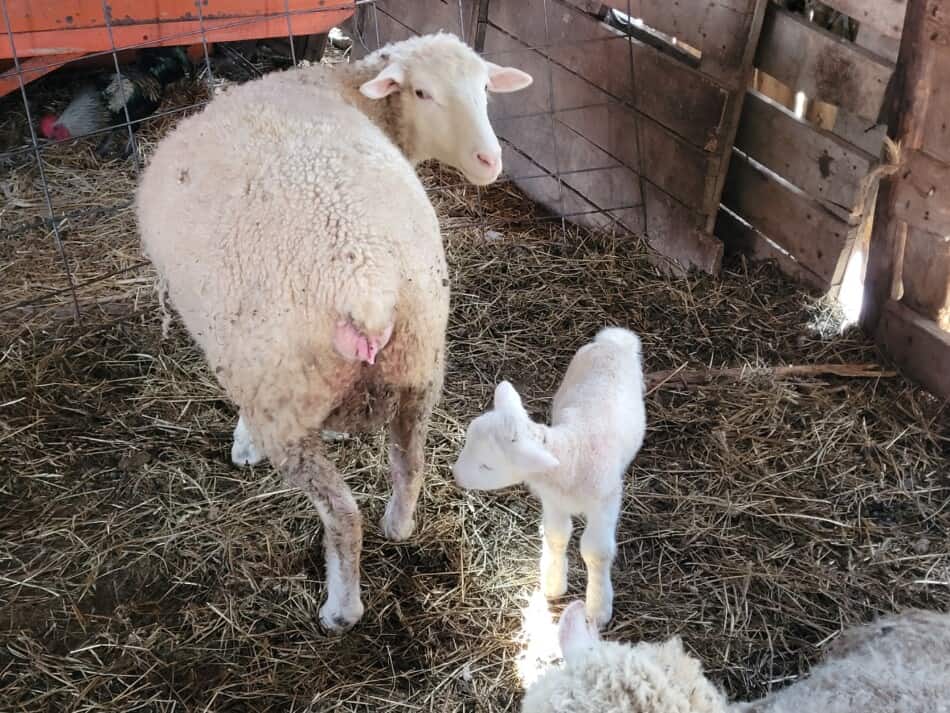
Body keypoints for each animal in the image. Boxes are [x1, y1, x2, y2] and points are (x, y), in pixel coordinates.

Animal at [136, 34, 536, 636]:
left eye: (486, 87)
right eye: (423, 92)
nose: (490, 161)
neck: (338, 84)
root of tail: (364, 291)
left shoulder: (248, 365)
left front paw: (243, 442)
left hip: (286, 404)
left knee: (343, 516)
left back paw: (341, 608)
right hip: (419, 370)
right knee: (409, 466)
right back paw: (398, 526)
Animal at [452, 326, 648, 624]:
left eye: (487, 466)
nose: (455, 475)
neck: (573, 454)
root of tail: (612, 341)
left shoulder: (606, 502)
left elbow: (596, 551)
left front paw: (598, 608)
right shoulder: (554, 501)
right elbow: (557, 536)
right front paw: (554, 583)